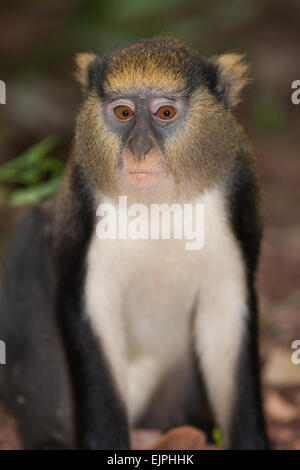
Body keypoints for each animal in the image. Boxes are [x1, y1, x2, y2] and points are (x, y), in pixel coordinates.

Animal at [0, 36, 270, 448]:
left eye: (164, 113)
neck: (160, 204)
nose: (140, 148)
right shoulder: (83, 200)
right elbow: (93, 315)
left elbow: (227, 320)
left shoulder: (238, 193)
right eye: (124, 112)